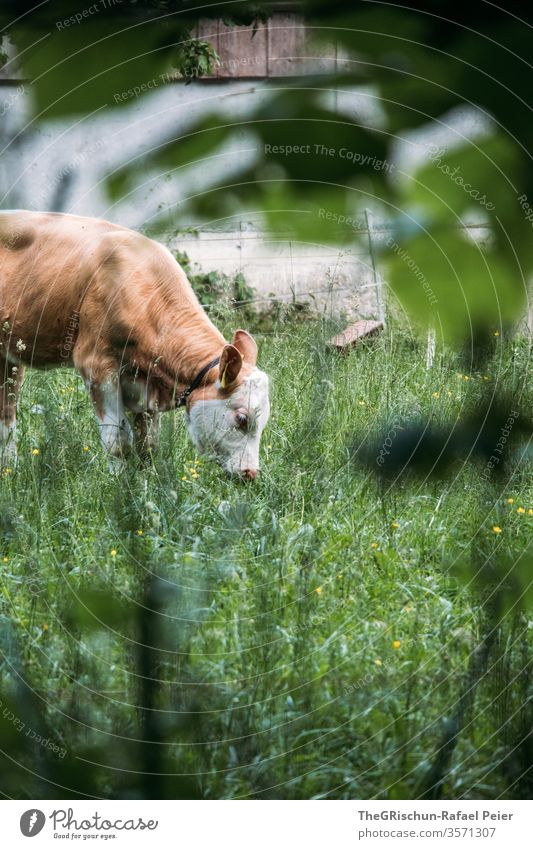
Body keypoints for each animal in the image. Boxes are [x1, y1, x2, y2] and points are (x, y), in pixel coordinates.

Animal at [0, 210, 270, 480]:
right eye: (241, 418)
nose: (250, 473)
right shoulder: (97, 366)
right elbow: (117, 441)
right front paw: (118, 483)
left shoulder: (145, 386)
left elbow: (148, 444)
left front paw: (145, 482)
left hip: (9, 360)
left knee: (7, 414)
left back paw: (9, 470)